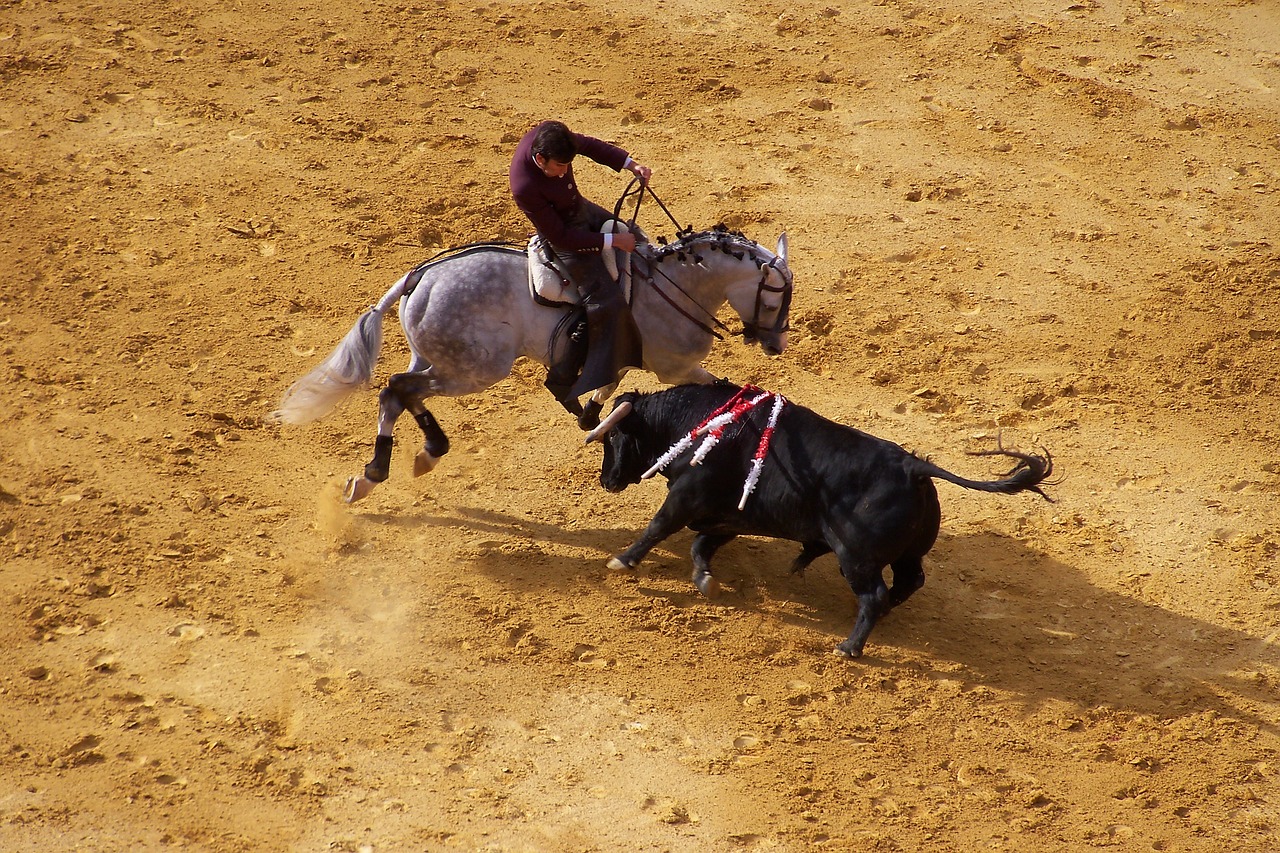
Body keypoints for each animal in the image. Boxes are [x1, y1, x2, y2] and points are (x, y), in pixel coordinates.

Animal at [271, 227, 788, 504]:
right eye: (773, 299)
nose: (776, 344)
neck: (673, 286)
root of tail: (420, 277)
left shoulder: (621, 361)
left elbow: (604, 391)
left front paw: (589, 415)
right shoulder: (676, 368)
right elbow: (718, 389)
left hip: (437, 358)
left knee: (405, 393)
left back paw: (417, 456)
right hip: (476, 368)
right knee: (396, 388)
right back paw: (381, 469)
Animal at [586, 384, 1054, 655]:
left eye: (614, 437)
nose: (606, 479)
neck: (698, 422)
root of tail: (913, 468)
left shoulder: (687, 497)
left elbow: (659, 527)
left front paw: (623, 561)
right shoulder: (730, 514)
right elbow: (703, 544)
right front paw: (705, 579)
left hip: (856, 557)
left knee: (874, 594)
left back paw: (849, 647)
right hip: (906, 554)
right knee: (908, 581)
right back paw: (880, 619)